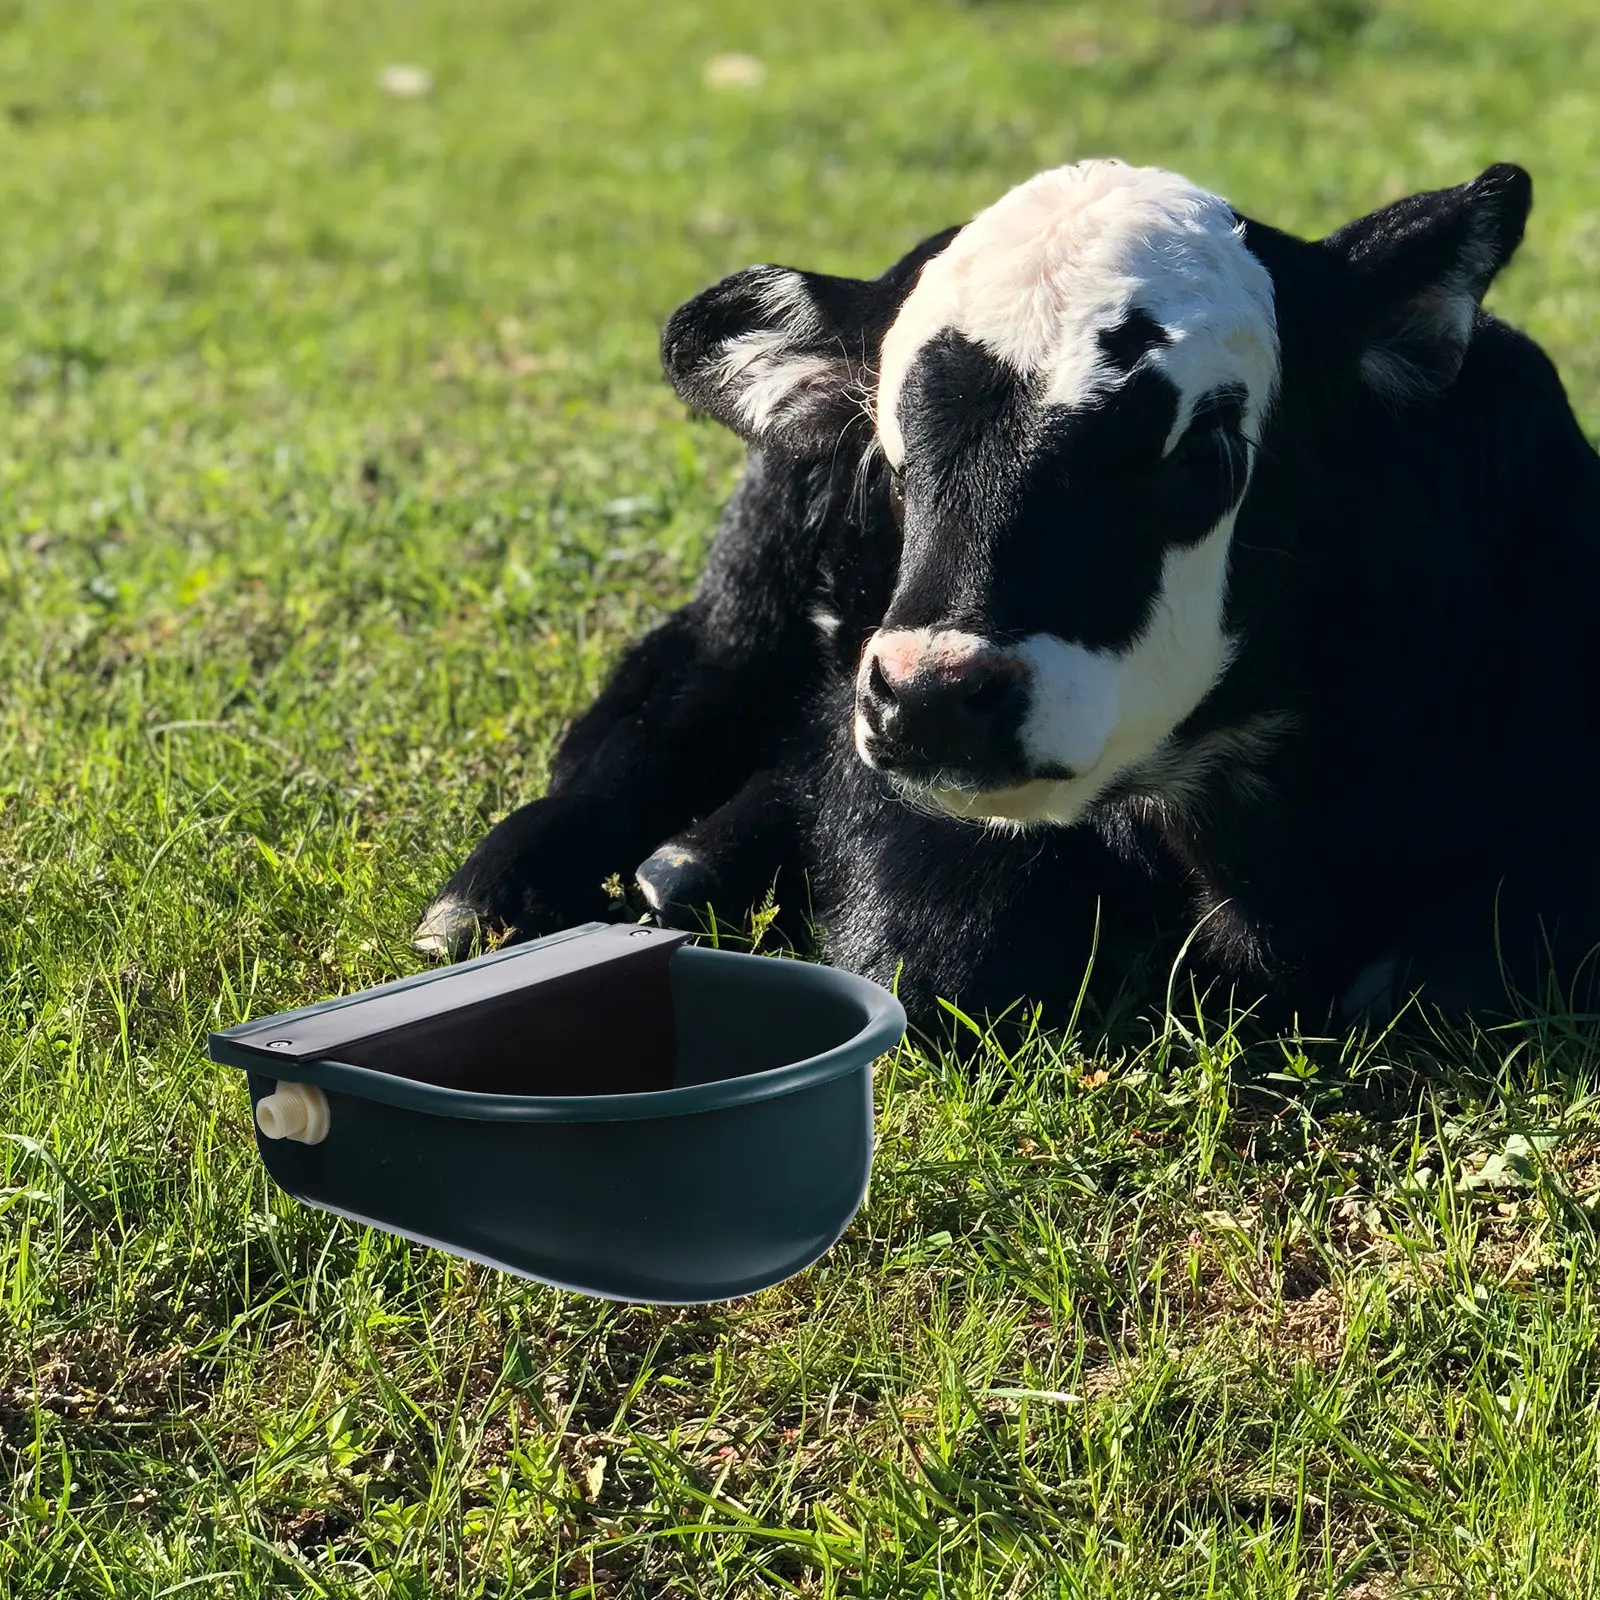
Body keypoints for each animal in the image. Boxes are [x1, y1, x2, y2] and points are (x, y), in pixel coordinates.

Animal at [416, 159, 1600, 1036]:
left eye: (1205, 450)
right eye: (892, 458)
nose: (934, 696)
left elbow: (1450, 971)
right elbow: (940, 959)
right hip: (747, 599)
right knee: (655, 710)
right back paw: (510, 897)